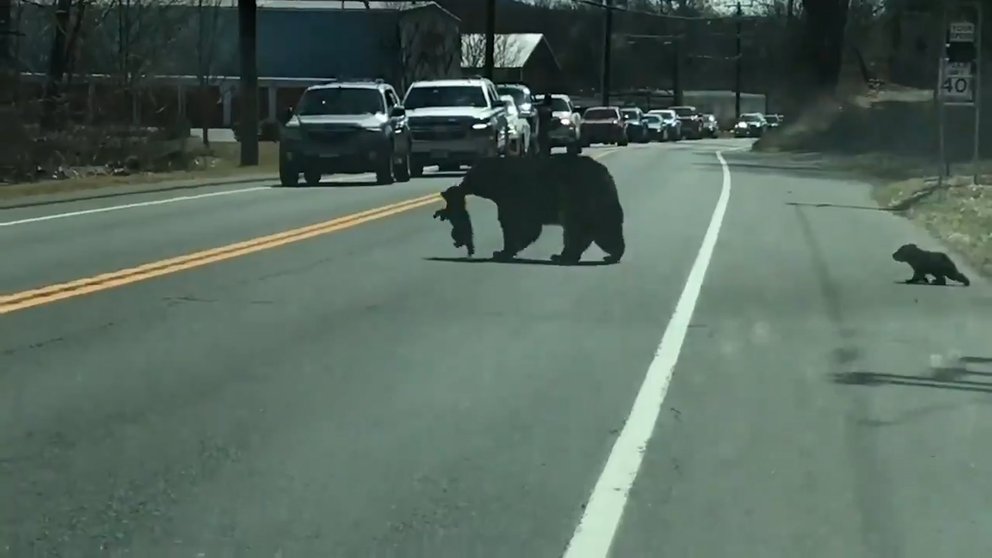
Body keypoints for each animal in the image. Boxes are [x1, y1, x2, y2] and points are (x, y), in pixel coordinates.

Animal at [446, 154, 624, 266]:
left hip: (576, 197)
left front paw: (502, 252)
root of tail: (605, 175)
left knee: (578, 229)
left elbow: (519, 225)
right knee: (605, 228)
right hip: (598, 204)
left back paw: (564, 256)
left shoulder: (516, 196)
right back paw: (611, 254)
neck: (499, 180)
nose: (461, 184)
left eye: (469, 175)